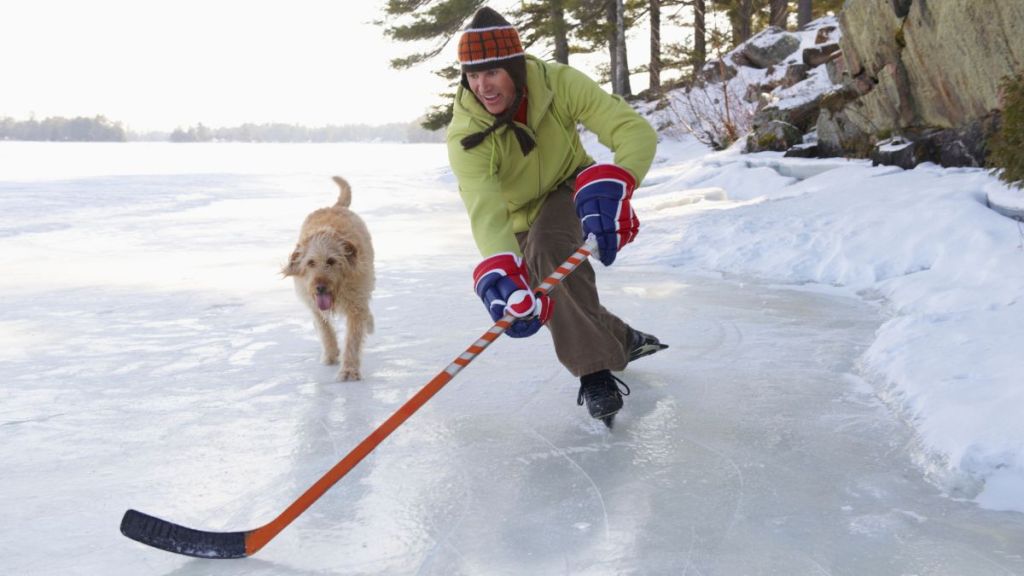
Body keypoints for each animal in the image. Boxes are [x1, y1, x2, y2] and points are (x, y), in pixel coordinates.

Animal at [282, 175, 374, 381]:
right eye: (310, 263)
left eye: (331, 261)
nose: (320, 287)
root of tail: (334, 206)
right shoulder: (313, 304)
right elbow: (324, 330)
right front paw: (331, 355)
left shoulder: (356, 303)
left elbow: (353, 337)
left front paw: (349, 370)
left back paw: (370, 323)